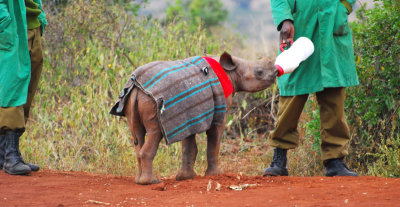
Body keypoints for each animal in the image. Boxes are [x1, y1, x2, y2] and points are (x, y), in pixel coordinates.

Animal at [111, 51, 276, 184]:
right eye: (259, 72)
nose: (276, 70)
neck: (231, 71)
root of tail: (136, 86)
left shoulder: (189, 115)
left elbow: (189, 146)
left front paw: (185, 177)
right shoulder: (218, 112)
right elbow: (214, 142)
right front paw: (215, 175)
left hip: (131, 99)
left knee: (137, 135)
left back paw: (139, 181)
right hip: (151, 101)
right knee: (155, 132)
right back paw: (151, 182)